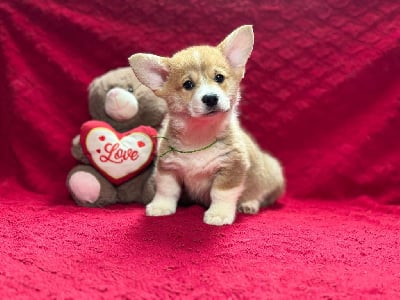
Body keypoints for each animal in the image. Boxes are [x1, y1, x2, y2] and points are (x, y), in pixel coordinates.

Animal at [128, 24, 284, 225]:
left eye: (219, 77)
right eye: (188, 84)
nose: (210, 98)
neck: (200, 135)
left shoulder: (232, 167)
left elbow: (221, 194)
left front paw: (219, 214)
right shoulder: (168, 168)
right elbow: (166, 190)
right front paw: (161, 207)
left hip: (270, 174)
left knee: (261, 195)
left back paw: (249, 204)